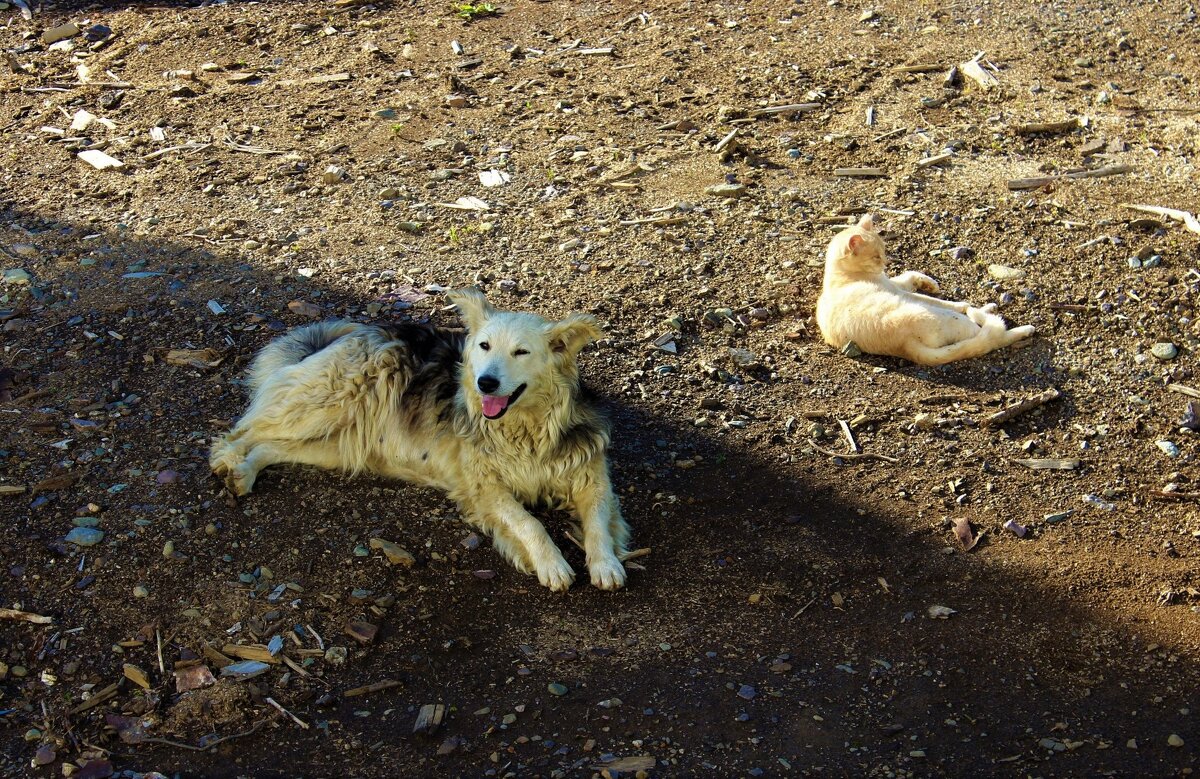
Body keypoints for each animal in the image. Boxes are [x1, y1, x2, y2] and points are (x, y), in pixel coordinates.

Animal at [210, 290, 633, 590]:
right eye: (484, 346)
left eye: (521, 352)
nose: (485, 383)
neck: (524, 429)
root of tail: (363, 330)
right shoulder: (484, 487)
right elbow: (529, 523)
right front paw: (552, 563)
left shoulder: (593, 476)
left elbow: (598, 520)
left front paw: (606, 563)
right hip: (324, 404)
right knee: (242, 431)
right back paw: (229, 464)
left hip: (335, 445)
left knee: (272, 445)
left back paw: (246, 471)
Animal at [816, 213, 1032, 367]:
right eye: (876, 257)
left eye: (884, 250)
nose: (886, 263)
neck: (843, 275)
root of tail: (905, 345)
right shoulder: (899, 291)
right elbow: (944, 301)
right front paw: (962, 303)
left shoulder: (895, 283)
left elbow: (910, 274)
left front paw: (930, 283)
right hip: (949, 319)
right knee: (992, 337)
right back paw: (1019, 327)